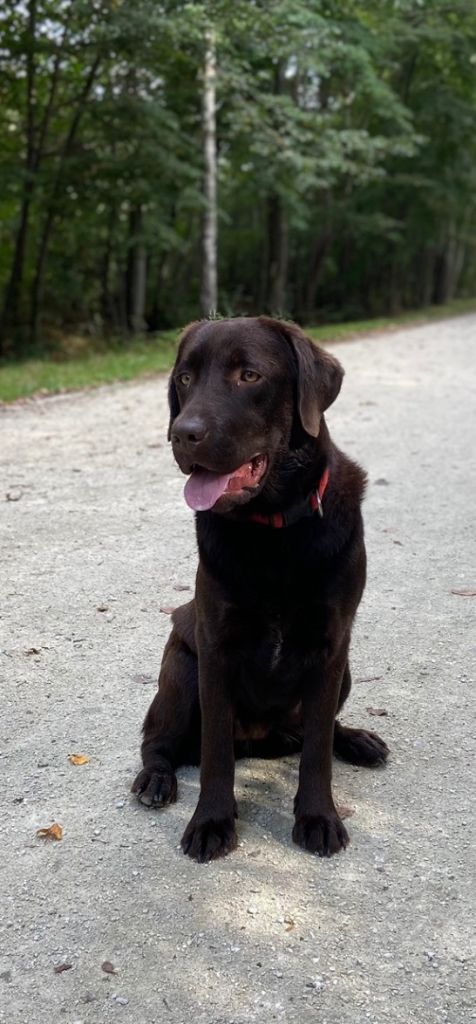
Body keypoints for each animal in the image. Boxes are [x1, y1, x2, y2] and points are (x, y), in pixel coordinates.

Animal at [132, 315, 386, 860]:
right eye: (184, 379)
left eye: (249, 376)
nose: (183, 435)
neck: (273, 531)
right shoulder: (216, 647)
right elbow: (216, 756)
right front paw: (211, 821)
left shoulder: (331, 646)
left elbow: (317, 751)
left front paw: (318, 817)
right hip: (181, 671)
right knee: (157, 743)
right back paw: (156, 780)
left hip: (345, 673)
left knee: (318, 729)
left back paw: (355, 740)